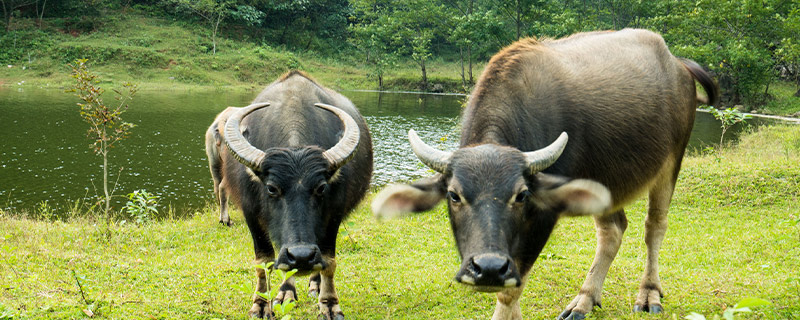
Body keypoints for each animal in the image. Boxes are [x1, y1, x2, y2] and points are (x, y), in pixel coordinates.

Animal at [220, 71, 374, 318]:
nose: (301, 256)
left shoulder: (334, 214)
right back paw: (286, 292)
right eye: (271, 188)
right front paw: (262, 303)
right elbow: (264, 260)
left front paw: (329, 304)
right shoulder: (251, 212)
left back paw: (315, 285)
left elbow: (328, 260)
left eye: (321, 188)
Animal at [374, 28, 720, 318]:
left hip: (672, 160)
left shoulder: (542, 218)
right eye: (454, 195)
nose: (488, 268)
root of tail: (678, 65)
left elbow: (510, 289)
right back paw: (584, 301)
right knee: (613, 230)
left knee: (655, 226)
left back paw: (648, 294)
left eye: (521, 195)